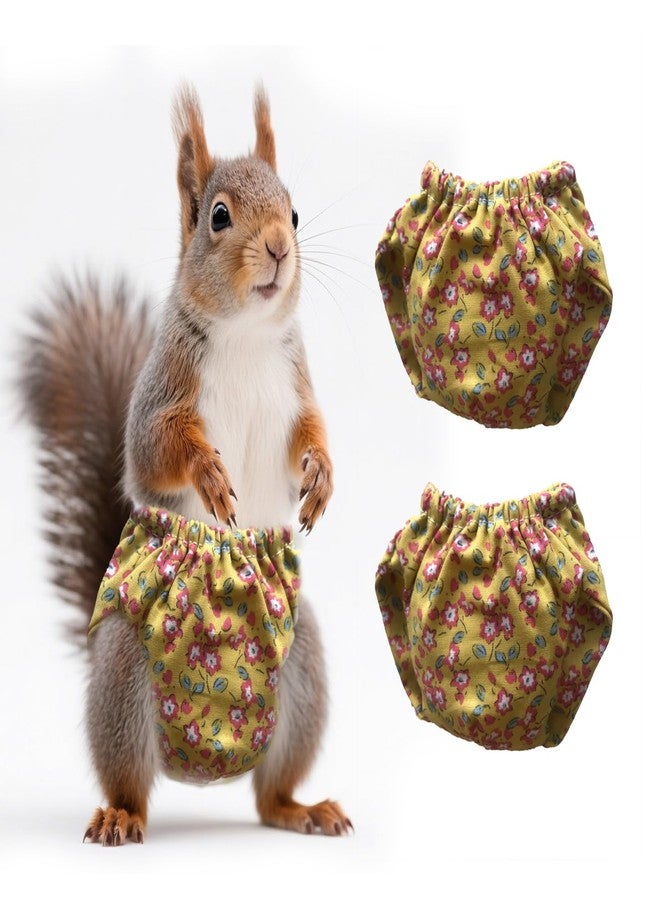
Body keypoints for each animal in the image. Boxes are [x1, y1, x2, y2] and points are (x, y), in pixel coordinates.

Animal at [18, 83, 351, 845]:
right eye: (218, 216)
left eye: (293, 210)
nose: (279, 247)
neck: (247, 335)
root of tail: (200, 768)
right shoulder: (162, 395)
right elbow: (156, 452)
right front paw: (209, 478)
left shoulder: (297, 390)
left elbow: (309, 439)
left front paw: (322, 479)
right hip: (121, 670)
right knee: (130, 779)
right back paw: (120, 814)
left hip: (303, 666)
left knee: (268, 794)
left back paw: (301, 807)